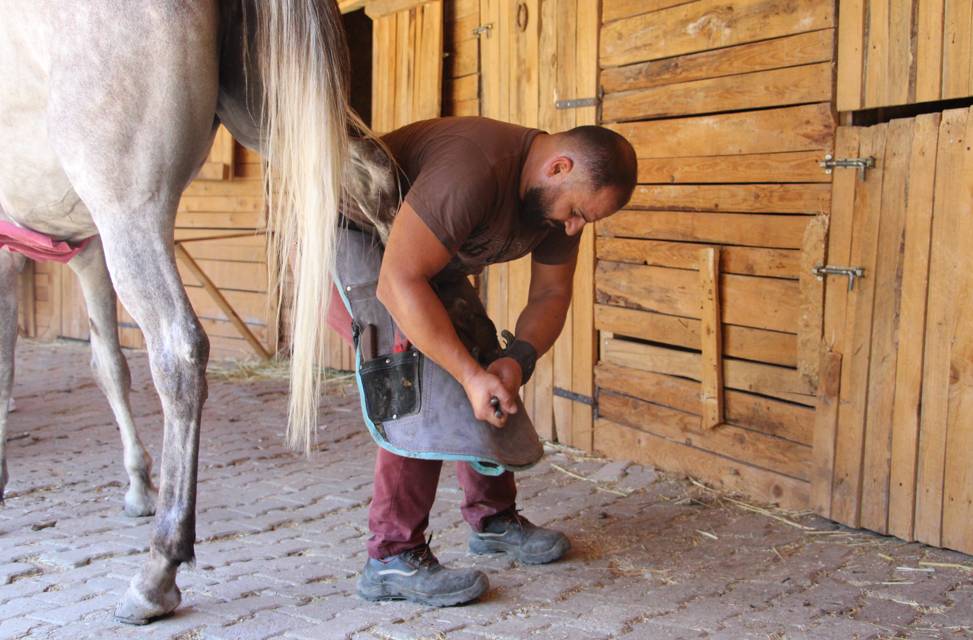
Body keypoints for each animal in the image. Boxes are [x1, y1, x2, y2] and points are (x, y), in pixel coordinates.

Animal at [0, 0, 392, 624]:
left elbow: (8, 372)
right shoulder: (86, 250)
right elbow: (108, 366)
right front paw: (137, 484)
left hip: (133, 212)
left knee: (178, 353)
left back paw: (156, 573)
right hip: (280, 126)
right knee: (379, 183)